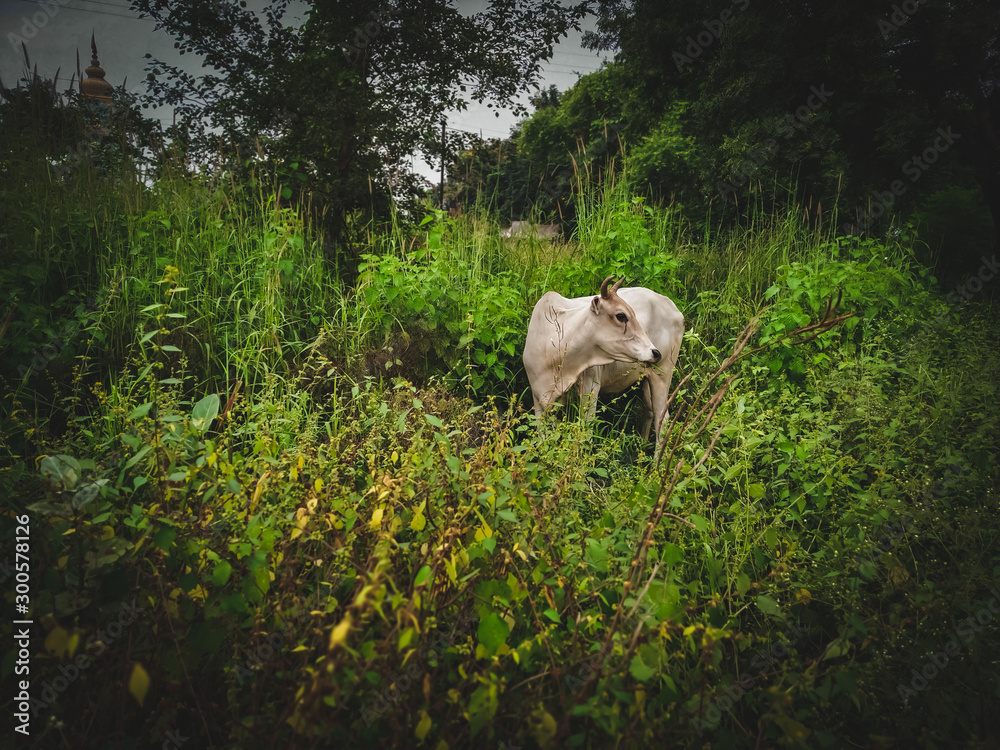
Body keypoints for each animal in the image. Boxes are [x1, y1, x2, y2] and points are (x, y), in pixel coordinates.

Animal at [523, 275, 684, 453]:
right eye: (621, 316)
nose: (655, 353)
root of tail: (673, 308)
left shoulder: (590, 386)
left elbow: (586, 431)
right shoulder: (538, 395)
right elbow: (543, 436)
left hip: (662, 374)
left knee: (663, 420)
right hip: (646, 378)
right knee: (649, 410)